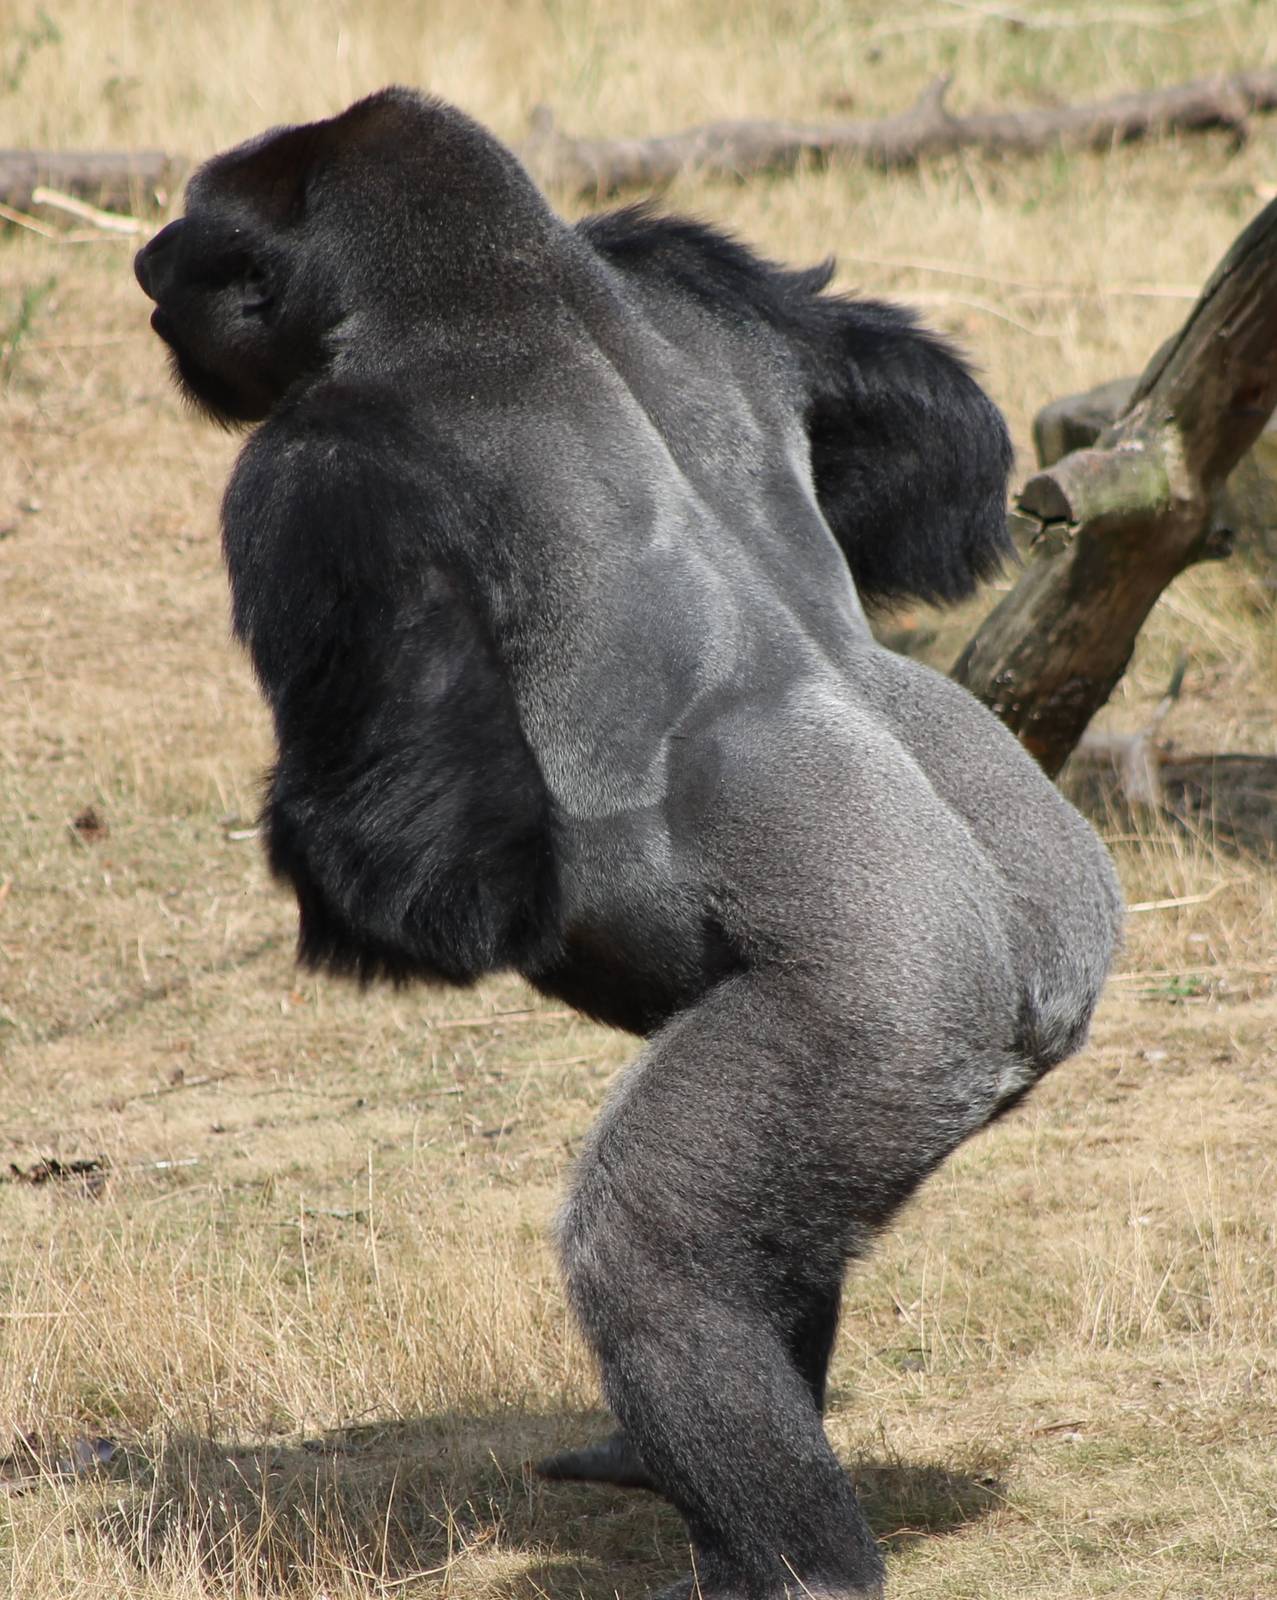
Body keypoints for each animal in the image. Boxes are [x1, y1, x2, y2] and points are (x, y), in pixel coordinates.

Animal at [135, 87, 1121, 1600]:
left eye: (195, 238)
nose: (144, 268)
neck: (488, 284)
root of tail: (1038, 981)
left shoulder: (315, 473)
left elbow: (425, 861)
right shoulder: (666, 255)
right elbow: (930, 438)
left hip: (888, 1019)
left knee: (656, 1256)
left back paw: (792, 1562)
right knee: (762, 1242)